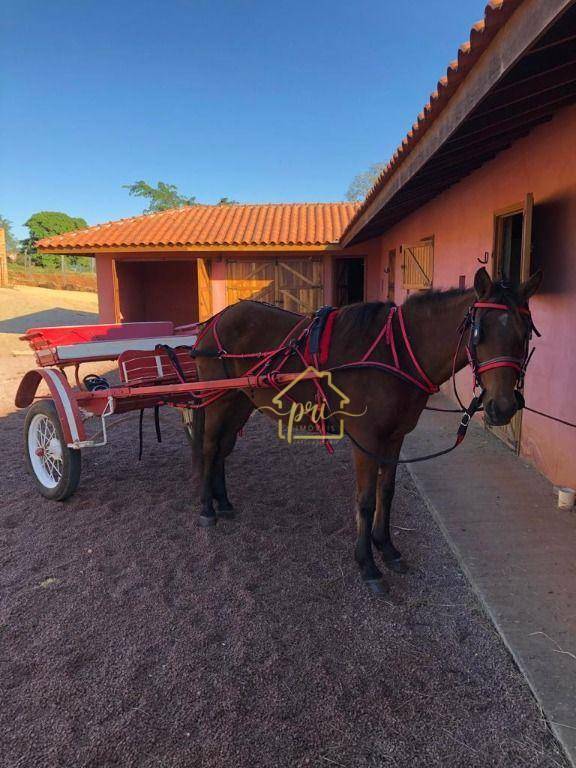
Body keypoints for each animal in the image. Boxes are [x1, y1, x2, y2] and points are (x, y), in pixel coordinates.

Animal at [188, 266, 540, 592]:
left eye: (524, 334)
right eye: (480, 332)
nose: (503, 407)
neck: (397, 354)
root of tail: (213, 322)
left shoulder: (395, 437)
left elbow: (387, 491)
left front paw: (386, 547)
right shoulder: (366, 439)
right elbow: (367, 499)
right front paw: (367, 563)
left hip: (239, 401)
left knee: (223, 448)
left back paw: (223, 501)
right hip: (219, 399)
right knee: (209, 447)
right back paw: (207, 507)